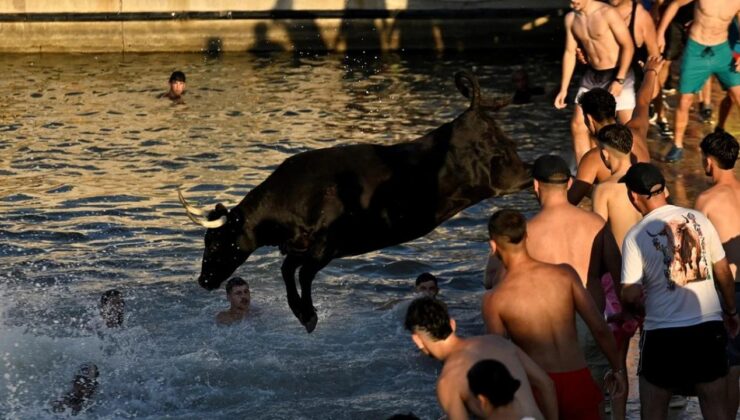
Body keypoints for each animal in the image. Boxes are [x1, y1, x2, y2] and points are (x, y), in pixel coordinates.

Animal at [179, 73, 532, 334]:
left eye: (216, 241)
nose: (203, 280)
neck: (293, 200)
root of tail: (471, 112)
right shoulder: (301, 248)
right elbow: (288, 271)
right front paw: (302, 313)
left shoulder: (328, 246)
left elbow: (301, 274)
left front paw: (309, 314)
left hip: (506, 176)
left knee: (529, 172)